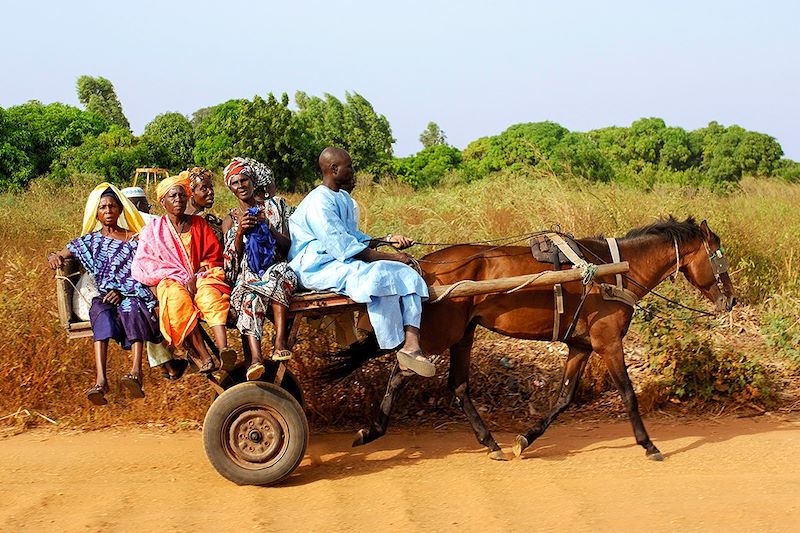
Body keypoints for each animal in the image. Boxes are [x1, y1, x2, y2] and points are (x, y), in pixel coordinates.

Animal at [322, 216, 736, 462]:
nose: (730, 300)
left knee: (458, 386)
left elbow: (565, 398)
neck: (613, 271)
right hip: (442, 333)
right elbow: (628, 394)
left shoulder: (582, 345)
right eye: (719, 257)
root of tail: (424, 267)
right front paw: (648, 445)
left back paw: (490, 442)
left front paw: (526, 438)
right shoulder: (607, 342)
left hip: (463, 333)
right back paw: (372, 431)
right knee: (402, 371)